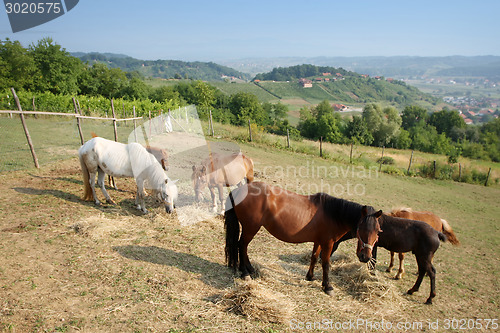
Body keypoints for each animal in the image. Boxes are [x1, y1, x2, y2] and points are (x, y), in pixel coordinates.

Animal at [225, 182, 374, 294]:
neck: (332, 214)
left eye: (377, 232)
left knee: (243, 247)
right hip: (250, 228)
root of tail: (240, 189)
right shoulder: (328, 243)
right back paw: (245, 272)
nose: (366, 257)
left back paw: (250, 269)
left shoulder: (318, 241)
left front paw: (310, 277)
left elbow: (314, 257)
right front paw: (328, 286)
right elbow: (326, 264)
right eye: (361, 229)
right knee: (241, 245)